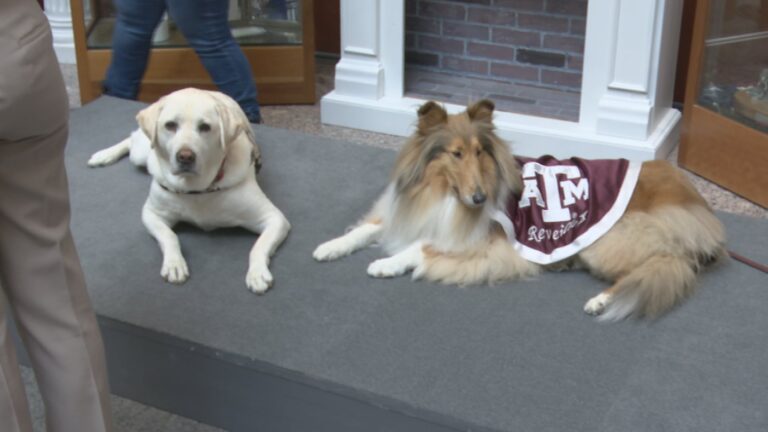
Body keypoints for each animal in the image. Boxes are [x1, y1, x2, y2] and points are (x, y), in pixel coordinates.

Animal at [314, 99, 728, 318]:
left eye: (479, 152)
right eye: (456, 154)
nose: (480, 199)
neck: (444, 194)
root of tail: (697, 202)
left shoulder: (483, 243)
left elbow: (422, 248)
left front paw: (385, 264)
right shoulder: (406, 213)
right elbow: (367, 229)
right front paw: (329, 246)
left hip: (614, 240)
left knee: (657, 264)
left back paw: (600, 300)